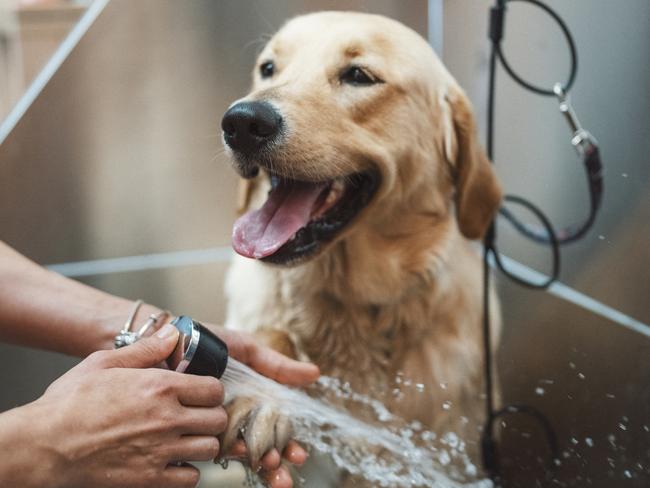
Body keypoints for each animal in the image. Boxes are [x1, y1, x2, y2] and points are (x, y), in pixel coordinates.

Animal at [219, 10, 502, 484]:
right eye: (268, 68)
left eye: (358, 76)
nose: (241, 122)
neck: (350, 306)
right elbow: (270, 336)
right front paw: (262, 396)